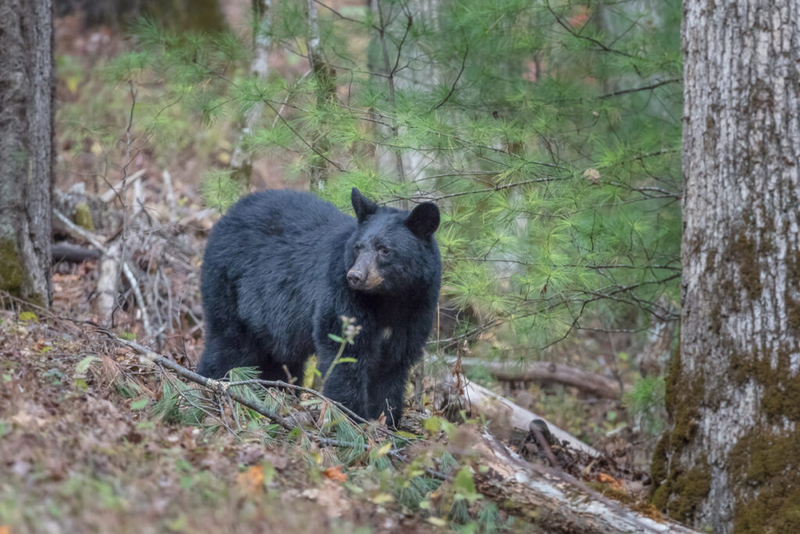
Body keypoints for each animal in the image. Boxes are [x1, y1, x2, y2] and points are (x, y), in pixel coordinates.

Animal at [197, 187, 442, 425]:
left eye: (384, 249)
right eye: (358, 247)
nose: (355, 276)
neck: (388, 299)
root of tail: (227, 216)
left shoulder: (416, 311)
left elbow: (391, 368)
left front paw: (385, 421)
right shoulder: (342, 295)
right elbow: (345, 356)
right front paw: (351, 419)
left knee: (279, 361)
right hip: (228, 291)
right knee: (227, 347)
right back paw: (211, 387)